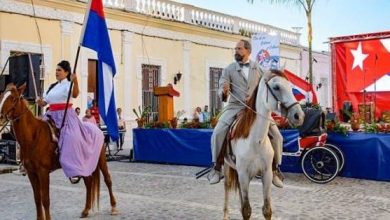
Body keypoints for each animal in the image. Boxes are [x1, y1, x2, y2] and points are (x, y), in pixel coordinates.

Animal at [0, 84, 117, 220]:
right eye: (2, 96)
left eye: (13, 98)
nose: (0, 117)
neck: (33, 136)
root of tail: (96, 127)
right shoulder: (31, 172)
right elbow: (37, 198)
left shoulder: (43, 172)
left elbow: (45, 199)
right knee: (88, 182)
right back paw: (86, 210)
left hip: (101, 159)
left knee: (108, 180)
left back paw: (113, 207)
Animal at [222, 69, 304, 220]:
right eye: (276, 87)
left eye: (291, 87)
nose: (299, 116)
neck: (256, 141)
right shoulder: (243, 174)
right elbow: (246, 210)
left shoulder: (266, 174)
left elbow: (266, 210)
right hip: (227, 166)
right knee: (227, 186)